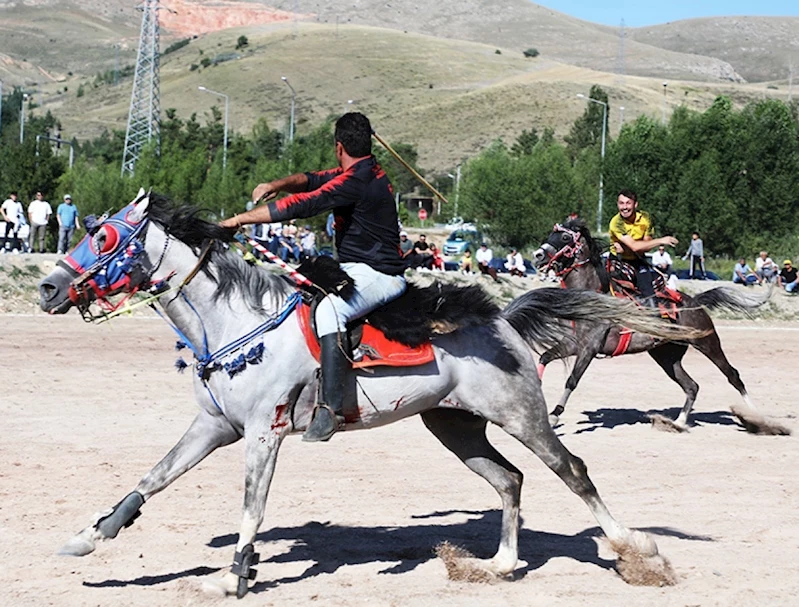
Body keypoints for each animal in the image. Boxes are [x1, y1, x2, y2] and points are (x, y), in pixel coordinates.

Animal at [39, 192, 700, 596]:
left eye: (103, 237)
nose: (48, 288)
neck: (236, 322)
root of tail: (504, 320)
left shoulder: (262, 434)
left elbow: (252, 507)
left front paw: (234, 576)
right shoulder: (215, 428)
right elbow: (152, 479)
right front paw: (89, 537)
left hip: (522, 416)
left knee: (572, 470)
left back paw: (631, 546)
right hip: (454, 425)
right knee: (509, 480)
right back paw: (500, 564)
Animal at [536, 221, 792, 434]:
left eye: (565, 238)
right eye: (550, 234)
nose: (538, 255)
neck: (592, 295)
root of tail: (695, 302)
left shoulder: (589, 348)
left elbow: (572, 380)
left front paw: (554, 417)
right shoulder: (573, 344)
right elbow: (544, 358)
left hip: (708, 343)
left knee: (732, 375)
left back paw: (757, 418)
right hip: (667, 356)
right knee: (692, 386)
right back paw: (677, 423)